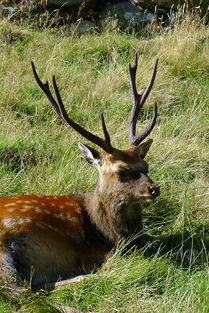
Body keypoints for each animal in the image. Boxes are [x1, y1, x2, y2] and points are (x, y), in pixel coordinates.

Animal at [0, 53, 160, 288]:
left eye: (146, 165)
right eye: (120, 171)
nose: (154, 188)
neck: (108, 233)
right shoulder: (94, 251)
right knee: (22, 288)